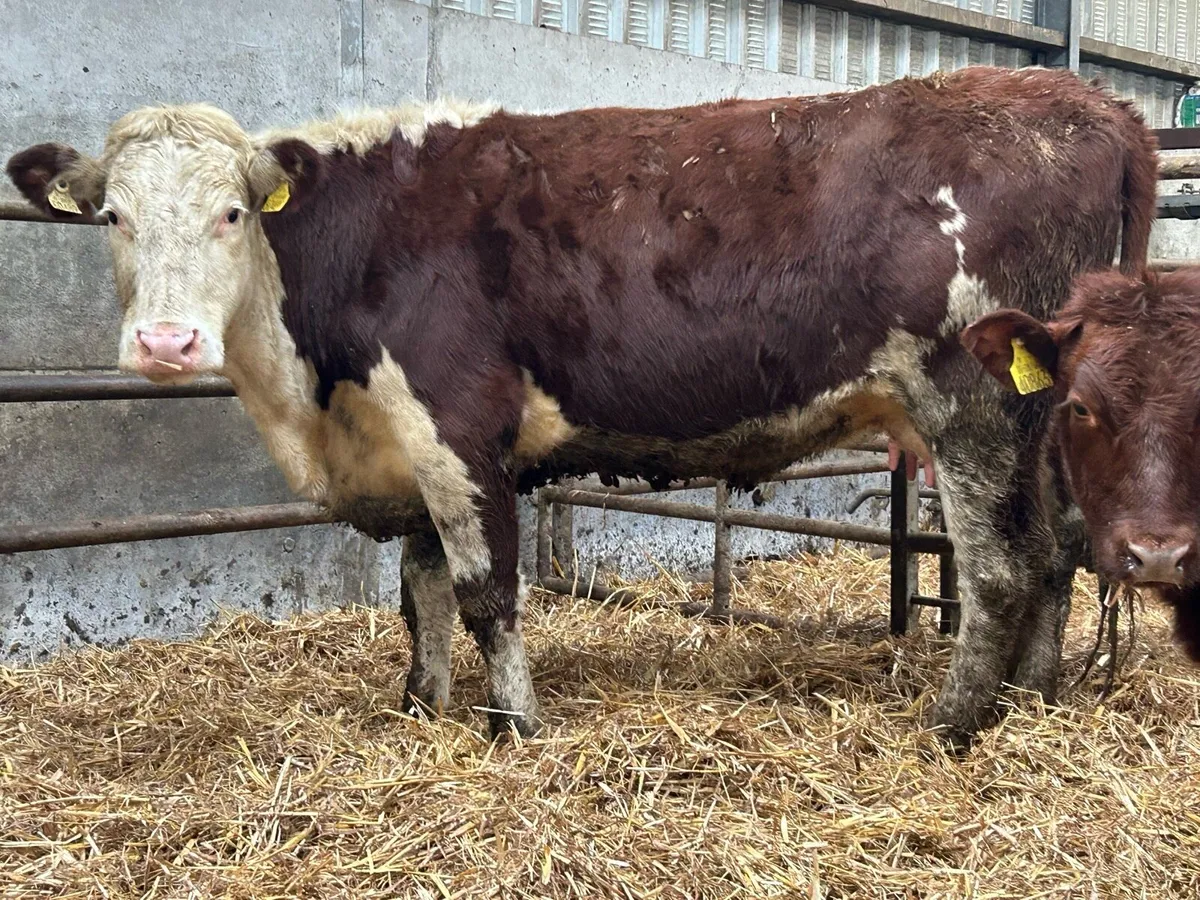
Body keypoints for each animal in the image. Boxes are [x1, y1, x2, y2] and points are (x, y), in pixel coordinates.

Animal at [7, 66, 1158, 748]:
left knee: (1004, 567)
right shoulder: (410, 441)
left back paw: (952, 724)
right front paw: (420, 704)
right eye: (111, 216)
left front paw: (511, 723)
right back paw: (1036, 698)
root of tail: (1090, 103)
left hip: (969, 401)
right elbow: (420, 591)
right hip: (1042, 417)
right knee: (1060, 548)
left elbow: (486, 595)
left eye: (232, 213)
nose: (165, 343)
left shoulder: (456, 422)